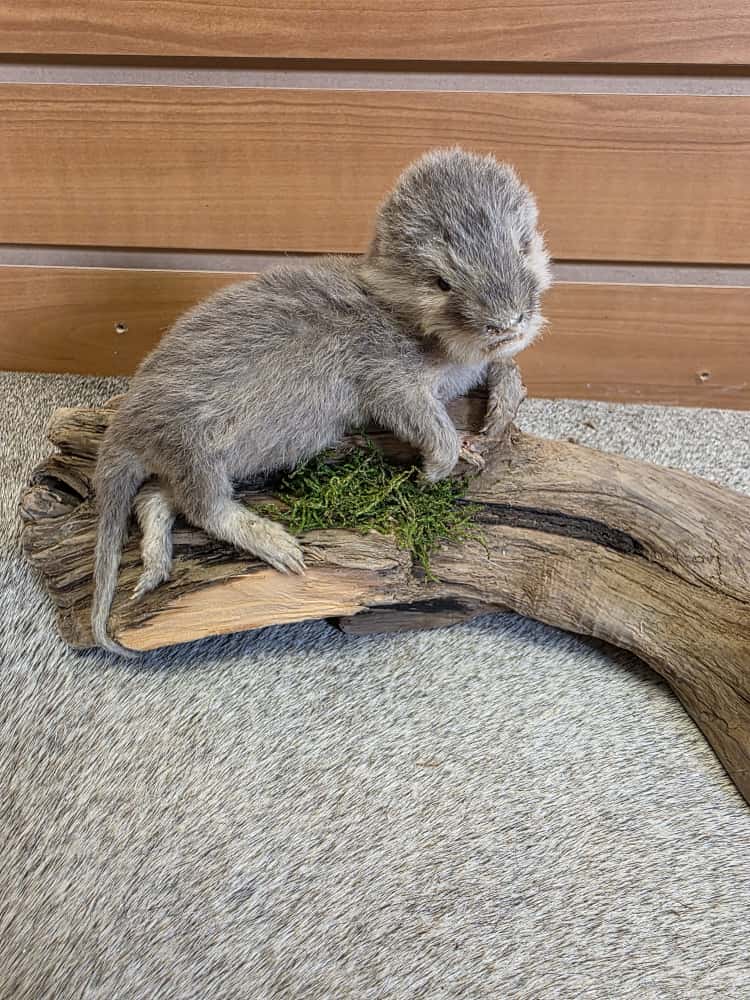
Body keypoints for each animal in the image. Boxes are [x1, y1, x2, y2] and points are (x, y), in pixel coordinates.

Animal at [92, 148, 552, 654]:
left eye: (523, 248)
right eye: (441, 282)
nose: (507, 321)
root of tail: (128, 426)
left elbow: (507, 367)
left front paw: (499, 413)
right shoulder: (387, 374)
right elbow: (423, 421)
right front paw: (438, 466)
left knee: (154, 496)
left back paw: (156, 563)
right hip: (199, 447)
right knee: (202, 507)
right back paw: (275, 543)